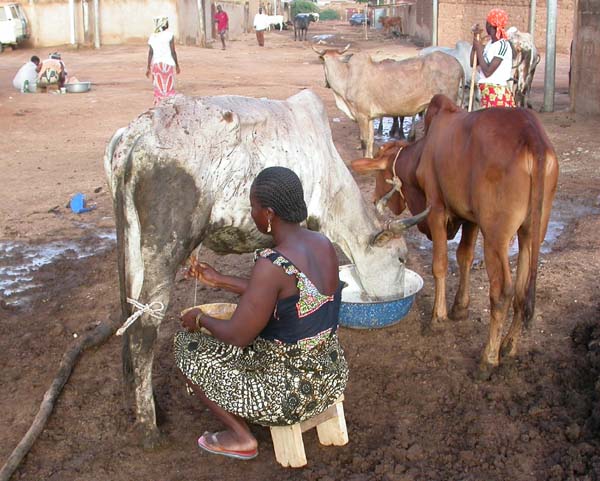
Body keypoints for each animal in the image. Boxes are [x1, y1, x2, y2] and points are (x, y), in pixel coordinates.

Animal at [103, 89, 424, 442]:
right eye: (401, 257)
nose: (391, 299)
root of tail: (137, 132)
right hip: (165, 246)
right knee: (143, 330)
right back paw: (149, 429)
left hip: (131, 242)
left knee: (127, 315)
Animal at [352, 94, 556, 378]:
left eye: (381, 175)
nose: (373, 198)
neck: (421, 153)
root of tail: (532, 136)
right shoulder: (471, 218)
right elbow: (464, 257)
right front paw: (460, 308)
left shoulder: (437, 210)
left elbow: (439, 265)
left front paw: (438, 317)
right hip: (532, 231)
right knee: (522, 289)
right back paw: (509, 346)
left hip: (496, 235)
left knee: (502, 290)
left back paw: (488, 358)